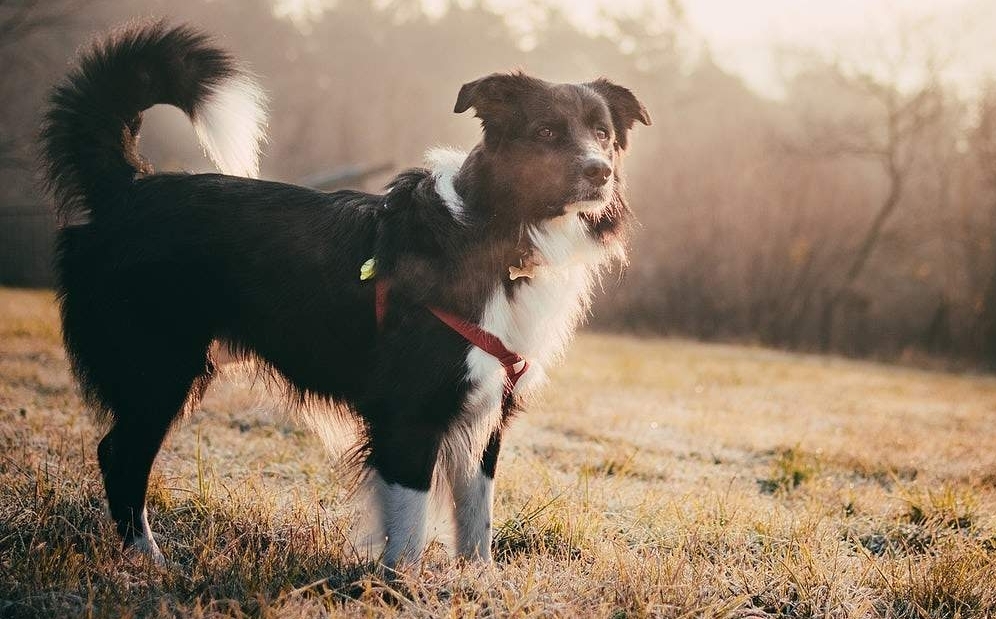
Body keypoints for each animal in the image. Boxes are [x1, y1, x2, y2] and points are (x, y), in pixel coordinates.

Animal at [39, 20, 648, 572]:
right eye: (545, 132)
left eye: (602, 133)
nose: (601, 172)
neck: (497, 232)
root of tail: (128, 186)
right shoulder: (411, 410)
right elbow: (409, 526)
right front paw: (401, 592)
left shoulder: (487, 407)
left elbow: (477, 518)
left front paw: (481, 587)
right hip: (159, 369)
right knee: (119, 454)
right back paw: (148, 560)